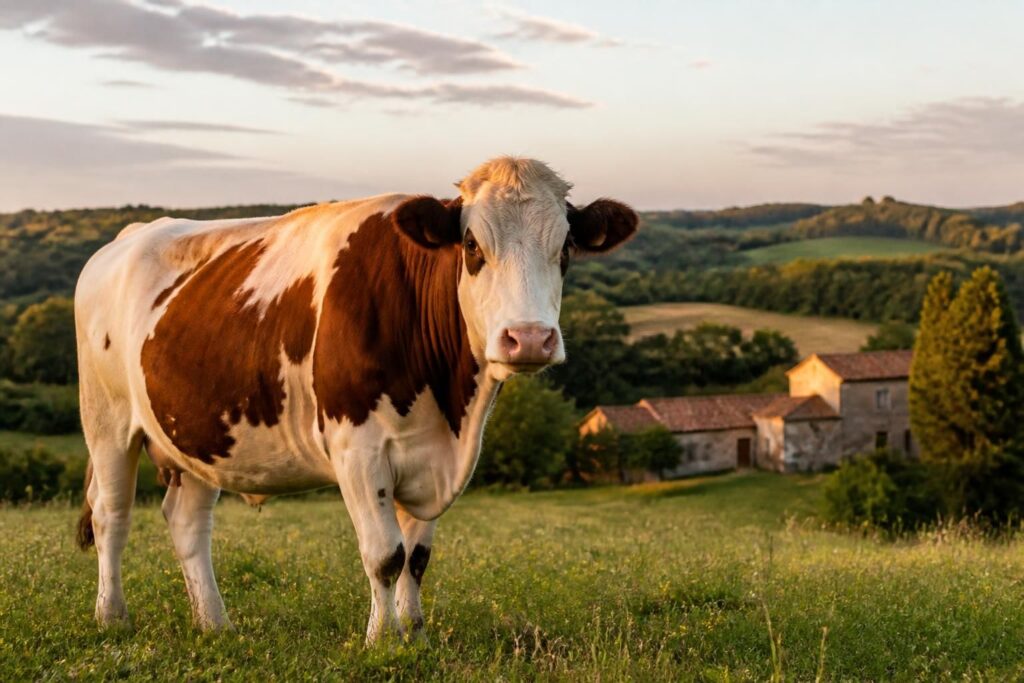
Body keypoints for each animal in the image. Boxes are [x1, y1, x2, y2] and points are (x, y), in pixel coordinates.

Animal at [73, 157, 637, 643]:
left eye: (565, 250)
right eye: (472, 245)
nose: (529, 339)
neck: (453, 407)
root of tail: (130, 236)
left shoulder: (431, 451)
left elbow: (416, 559)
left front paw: (415, 635)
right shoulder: (358, 450)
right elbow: (385, 554)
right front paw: (382, 640)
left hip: (198, 435)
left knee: (187, 522)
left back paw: (215, 625)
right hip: (107, 421)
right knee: (111, 515)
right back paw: (111, 617)